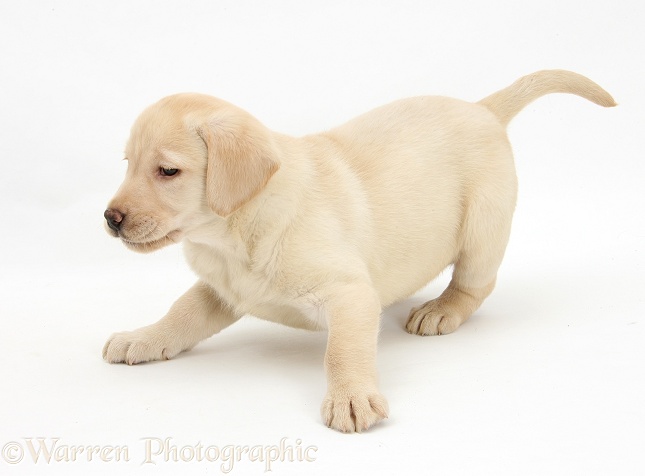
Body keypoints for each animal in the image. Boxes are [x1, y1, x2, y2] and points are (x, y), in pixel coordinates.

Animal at [102, 70, 612, 432]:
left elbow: (342, 350)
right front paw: (143, 337)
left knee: (476, 283)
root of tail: (481, 109)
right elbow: (182, 312)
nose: (110, 218)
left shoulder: (349, 294)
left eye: (168, 171)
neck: (234, 235)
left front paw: (349, 397)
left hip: (483, 227)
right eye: (127, 165)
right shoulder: (223, 289)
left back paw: (442, 308)